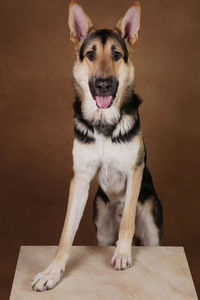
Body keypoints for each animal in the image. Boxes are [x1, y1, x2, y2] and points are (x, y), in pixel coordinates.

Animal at [31, 0, 162, 290]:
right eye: (90, 54)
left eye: (117, 55)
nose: (104, 85)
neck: (104, 125)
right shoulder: (80, 178)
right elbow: (66, 233)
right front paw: (52, 272)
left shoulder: (134, 171)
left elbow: (127, 222)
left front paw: (123, 254)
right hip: (101, 223)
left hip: (151, 223)